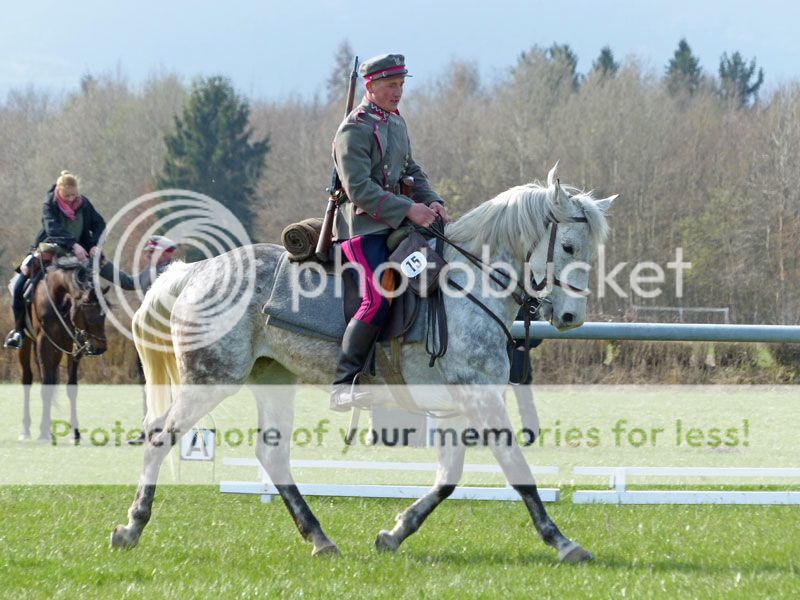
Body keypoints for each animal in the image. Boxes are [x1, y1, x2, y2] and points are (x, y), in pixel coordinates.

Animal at [18, 255, 108, 442]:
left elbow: (70, 386)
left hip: (58, 350)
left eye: (104, 314)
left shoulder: (72, 346)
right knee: (27, 379)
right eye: (87, 313)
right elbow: (45, 384)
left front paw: (75, 433)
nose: (100, 348)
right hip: (27, 345)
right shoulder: (44, 343)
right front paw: (43, 433)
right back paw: (26, 430)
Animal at [109, 168, 616, 564]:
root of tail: (198, 271)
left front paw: (395, 532)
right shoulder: (480, 397)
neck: (470, 284)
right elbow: (517, 470)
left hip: (273, 378)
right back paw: (131, 528)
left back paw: (320, 539)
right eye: (569, 247)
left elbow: (448, 479)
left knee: (272, 457)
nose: (571, 318)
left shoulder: (459, 404)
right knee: (160, 437)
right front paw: (563, 542)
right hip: (210, 380)